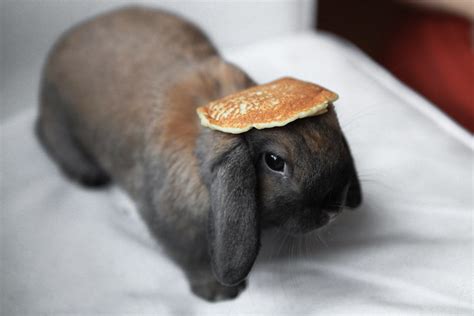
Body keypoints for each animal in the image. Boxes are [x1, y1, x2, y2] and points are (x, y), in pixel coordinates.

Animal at [36, 6, 362, 302]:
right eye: (274, 162)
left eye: (332, 128)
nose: (334, 207)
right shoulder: (172, 225)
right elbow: (192, 257)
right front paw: (220, 294)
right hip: (60, 122)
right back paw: (87, 174)